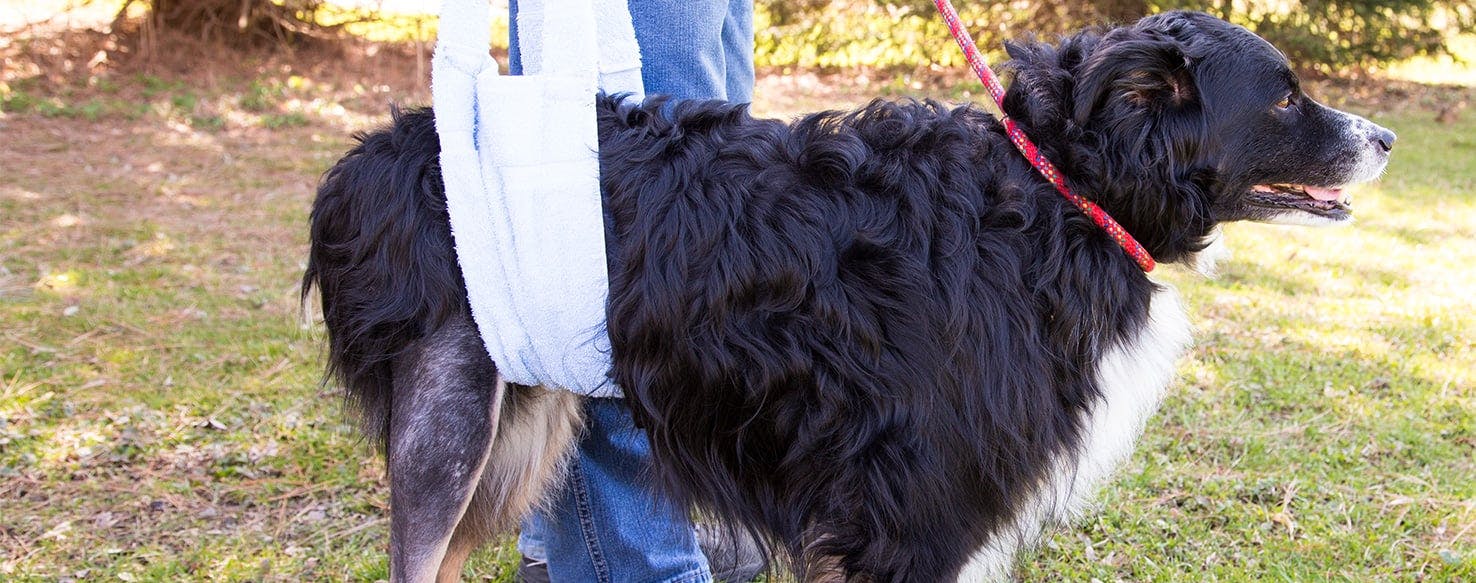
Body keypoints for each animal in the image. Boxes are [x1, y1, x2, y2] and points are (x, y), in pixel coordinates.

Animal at [302, 11, 1393, 581]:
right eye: (1286, 96)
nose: (1383, 136)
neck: (1054, 189)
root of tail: (384, 150)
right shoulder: (910, 516)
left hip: (516, 424)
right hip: (453, 424)